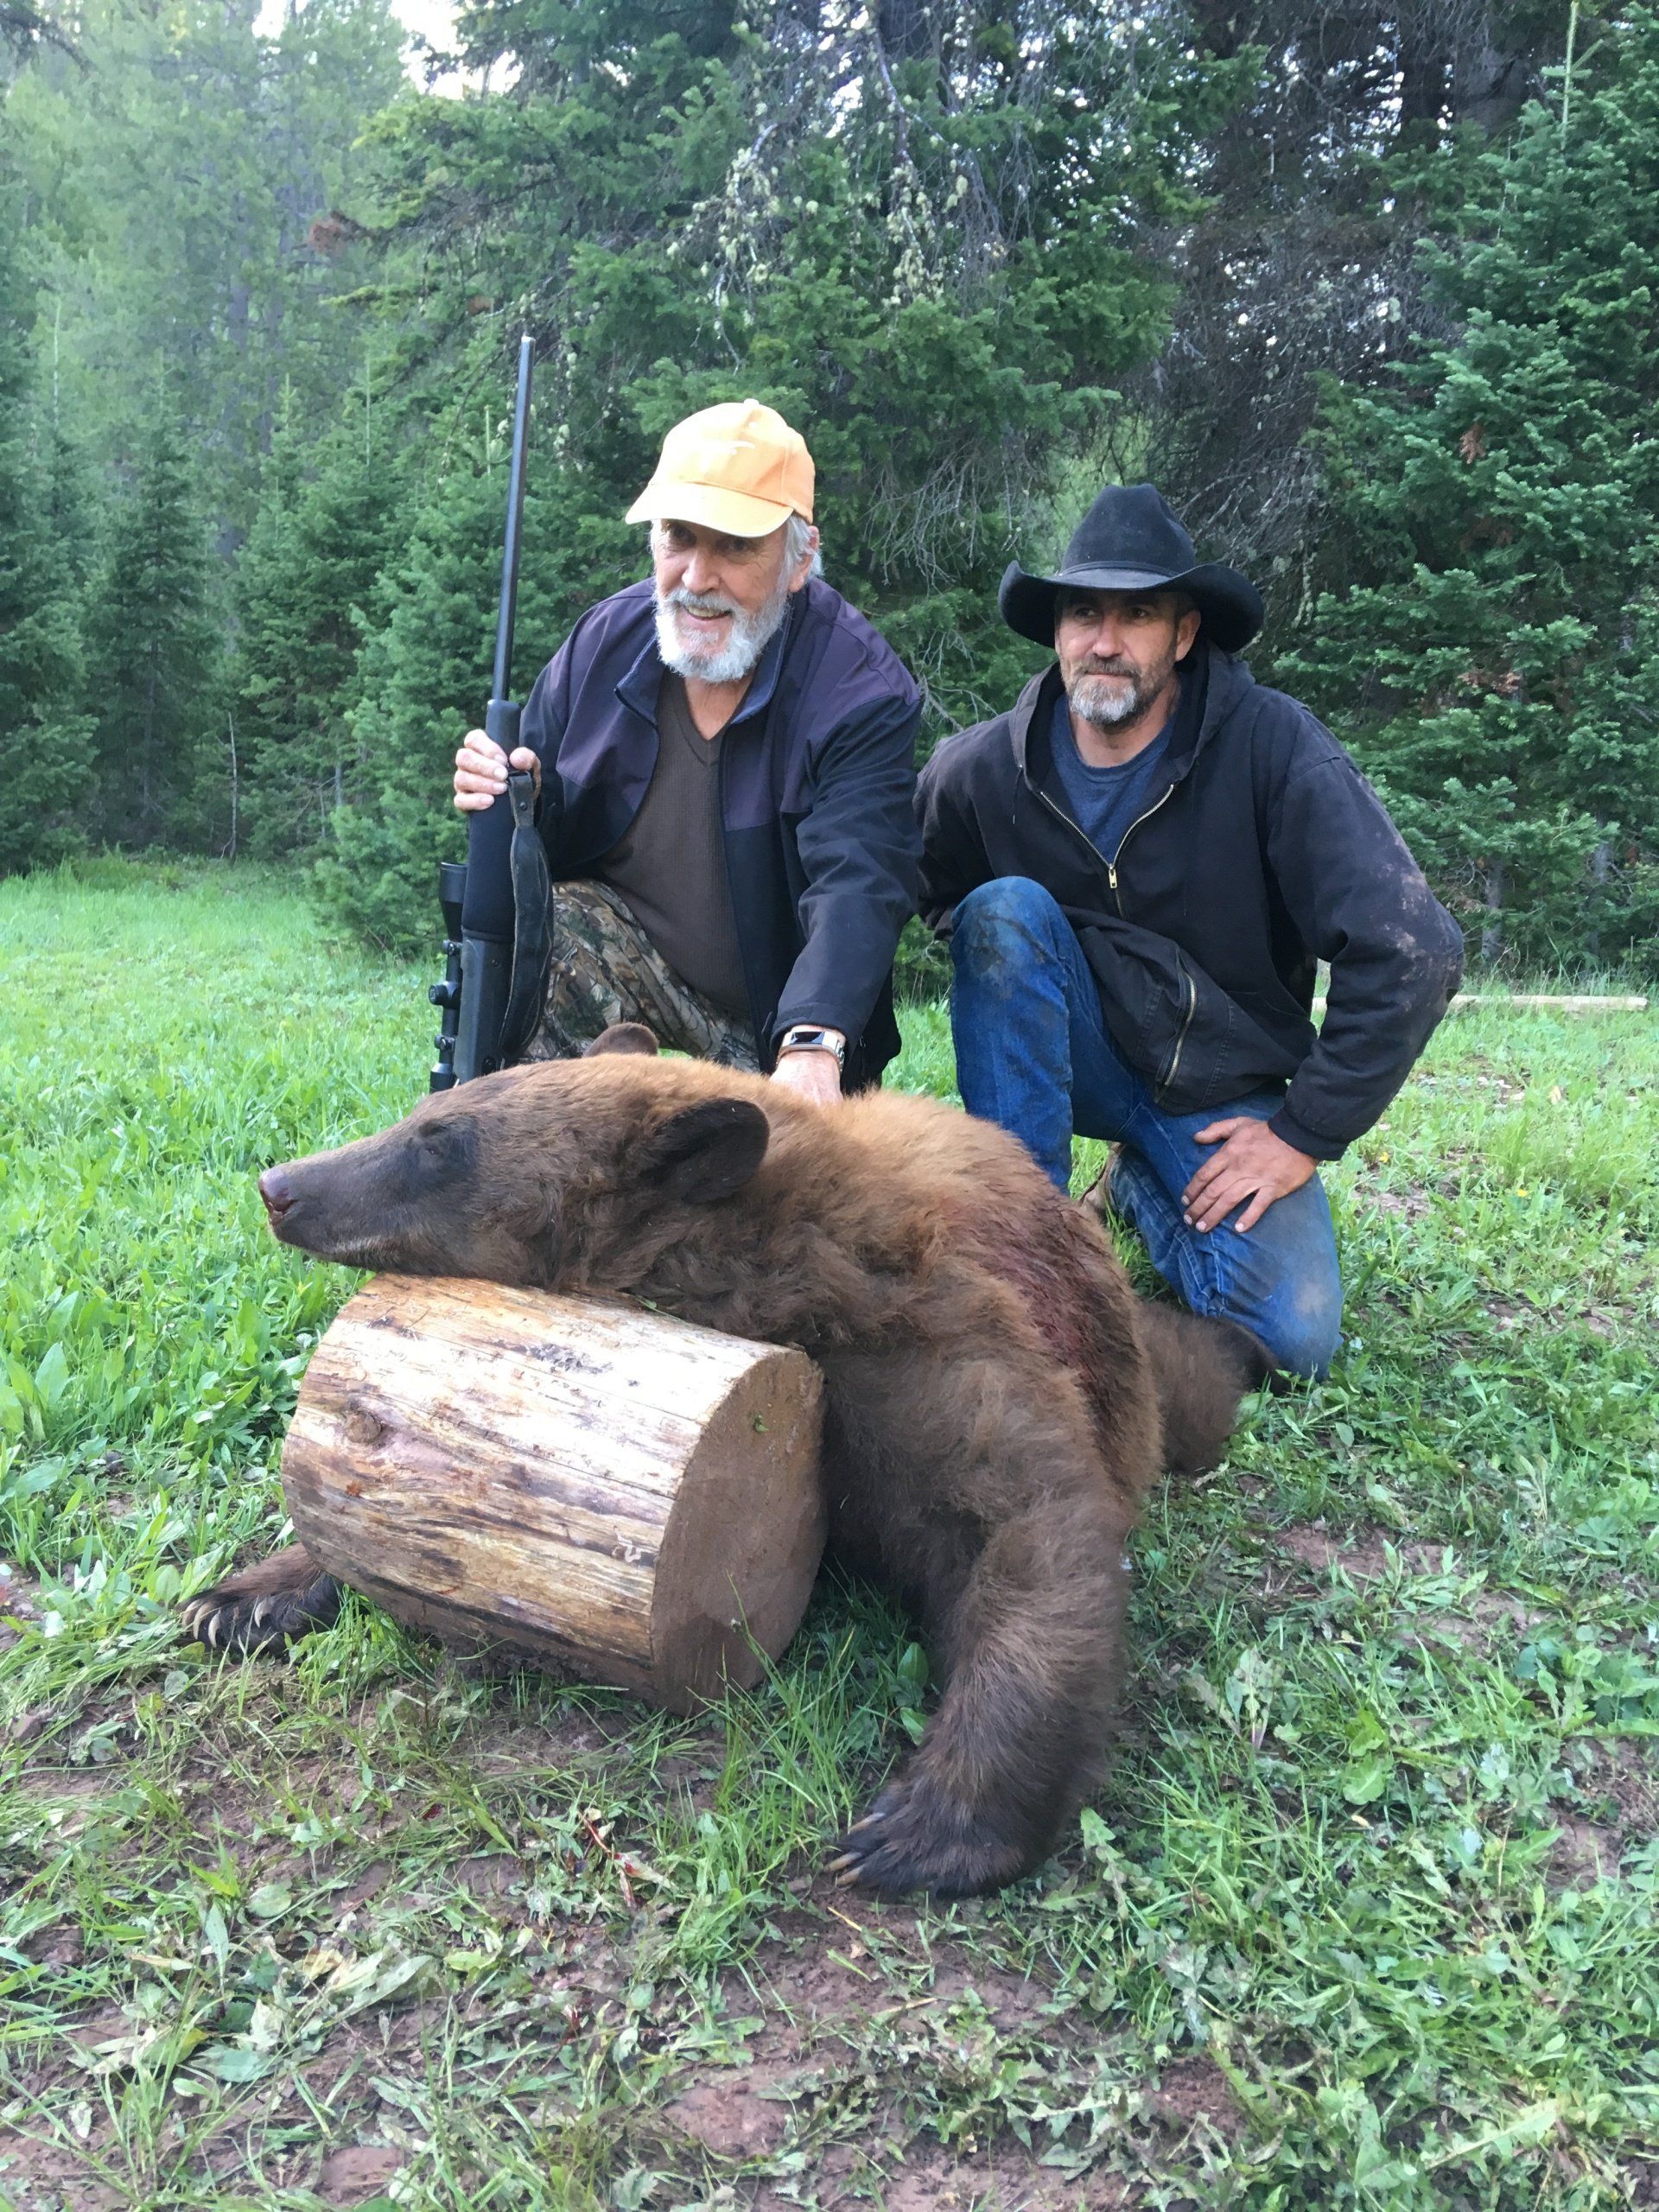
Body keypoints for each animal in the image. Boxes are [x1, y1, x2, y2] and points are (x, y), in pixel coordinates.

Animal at [182, 1027, 1267, 1898]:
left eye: (438, 1143)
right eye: (420, 1116)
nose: (280, 1187)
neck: (777, 1257)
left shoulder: (923, 1334)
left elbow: (1028, 1525)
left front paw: (930, 1826)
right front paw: (250, 1593)